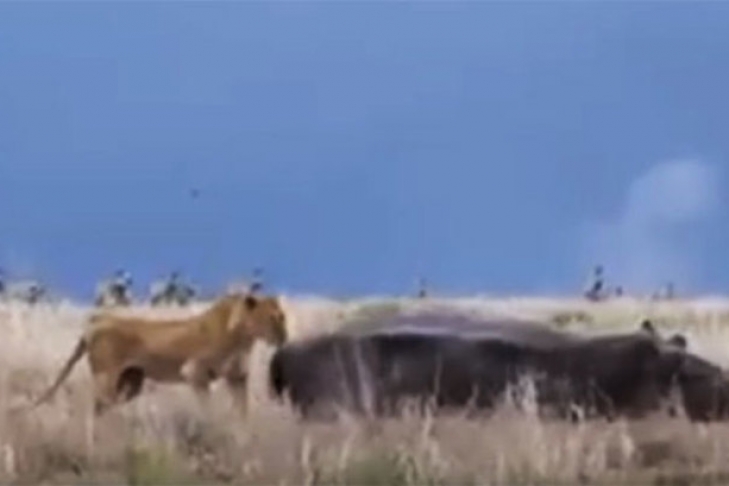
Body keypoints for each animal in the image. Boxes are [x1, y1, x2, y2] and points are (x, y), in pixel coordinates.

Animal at [29, 291, 288, 416]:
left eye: (282, 317)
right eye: (272, 318)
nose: (284, 336)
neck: (244, 336)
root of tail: (99, 320)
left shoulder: (238, 378)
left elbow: (243, 414)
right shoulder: (195, 372)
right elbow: (208, 410)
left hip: (131, 383)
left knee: (105, 408)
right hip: (106, 378)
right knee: (96, 408)